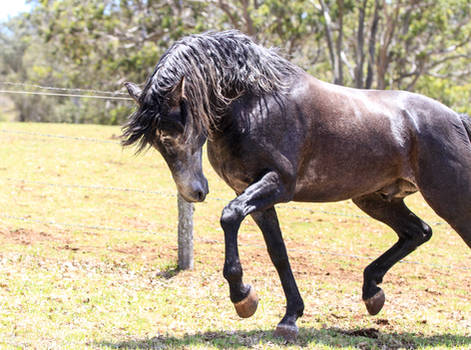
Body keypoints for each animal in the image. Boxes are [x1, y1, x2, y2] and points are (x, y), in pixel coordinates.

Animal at [121, 30, 471, 342]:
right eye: (157, 142)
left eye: (173, 132)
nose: (194, 192)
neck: (255, 104)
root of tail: (455, 117)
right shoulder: (253, 195)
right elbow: (278, 252)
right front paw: (286, 316)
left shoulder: (278, 185)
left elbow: (230, 216)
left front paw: (242, 297)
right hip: (375, 199)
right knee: (418, 232)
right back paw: (372, 292)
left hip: (450, 198)